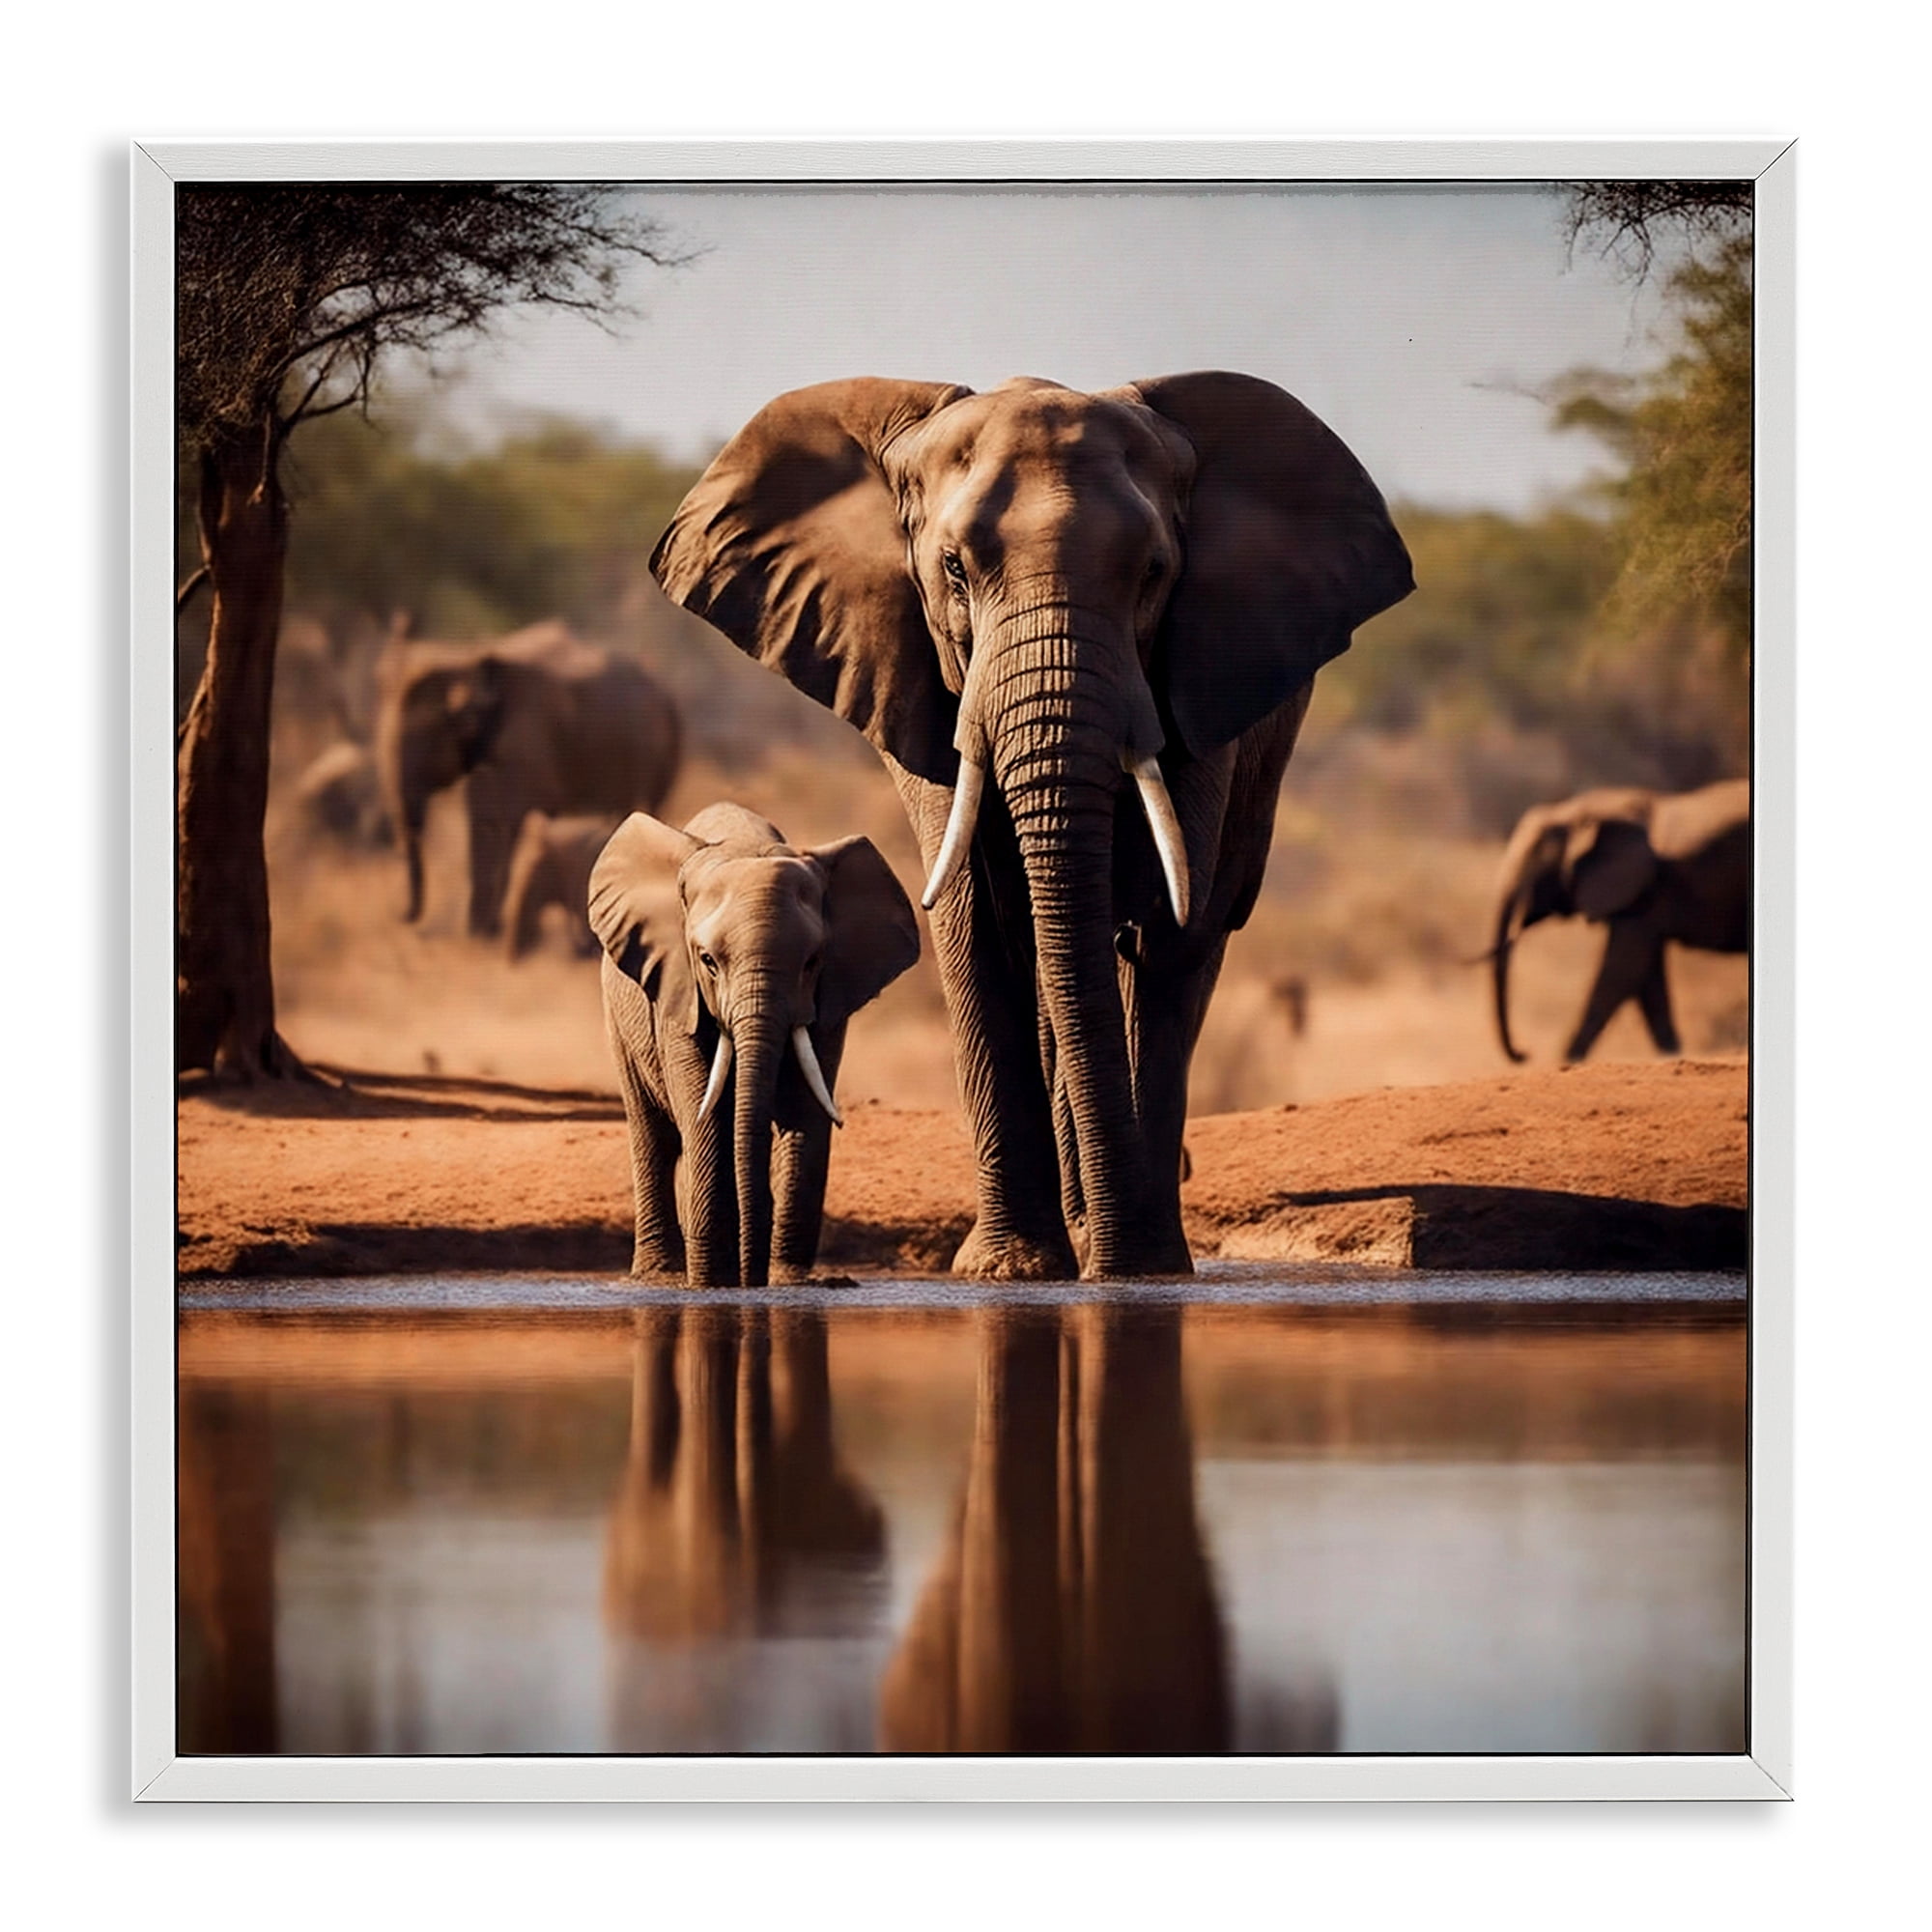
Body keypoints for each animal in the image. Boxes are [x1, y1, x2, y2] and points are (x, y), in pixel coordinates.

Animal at [372, 621, 682, 938]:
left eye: (429, 736)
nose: (401, 917)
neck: (466, 657)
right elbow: (482, 822)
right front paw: (478, 932)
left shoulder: (525, 744)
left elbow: (506, 821)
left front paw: (487, 932)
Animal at [591, 802, 921, 1288]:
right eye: (708, 961)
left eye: (812, 962)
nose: (751, 1278)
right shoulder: (678, 988)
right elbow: (703, 1111)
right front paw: (712, 1283)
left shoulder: (830, 998)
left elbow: (805, 1109)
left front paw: (789, 1283)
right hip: (620, 1018)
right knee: (653, 1135)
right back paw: (659, 1276)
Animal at [651, 373, 1412, 1280]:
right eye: (952, 568)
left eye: (1154, 573)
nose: (1111, 1259)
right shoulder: (922, 684)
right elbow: (976, 918)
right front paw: (1014, 1270)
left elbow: (1166, 927)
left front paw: (1142, 1267)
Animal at [1489, 777, 1750, 1063]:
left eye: (1535, 870)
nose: (1525, 1053)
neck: (1579, 810)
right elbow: (1646, 977)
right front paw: (1672, 1056)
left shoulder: (1642, 888)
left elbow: (1622, 969)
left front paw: (1567, 1061)